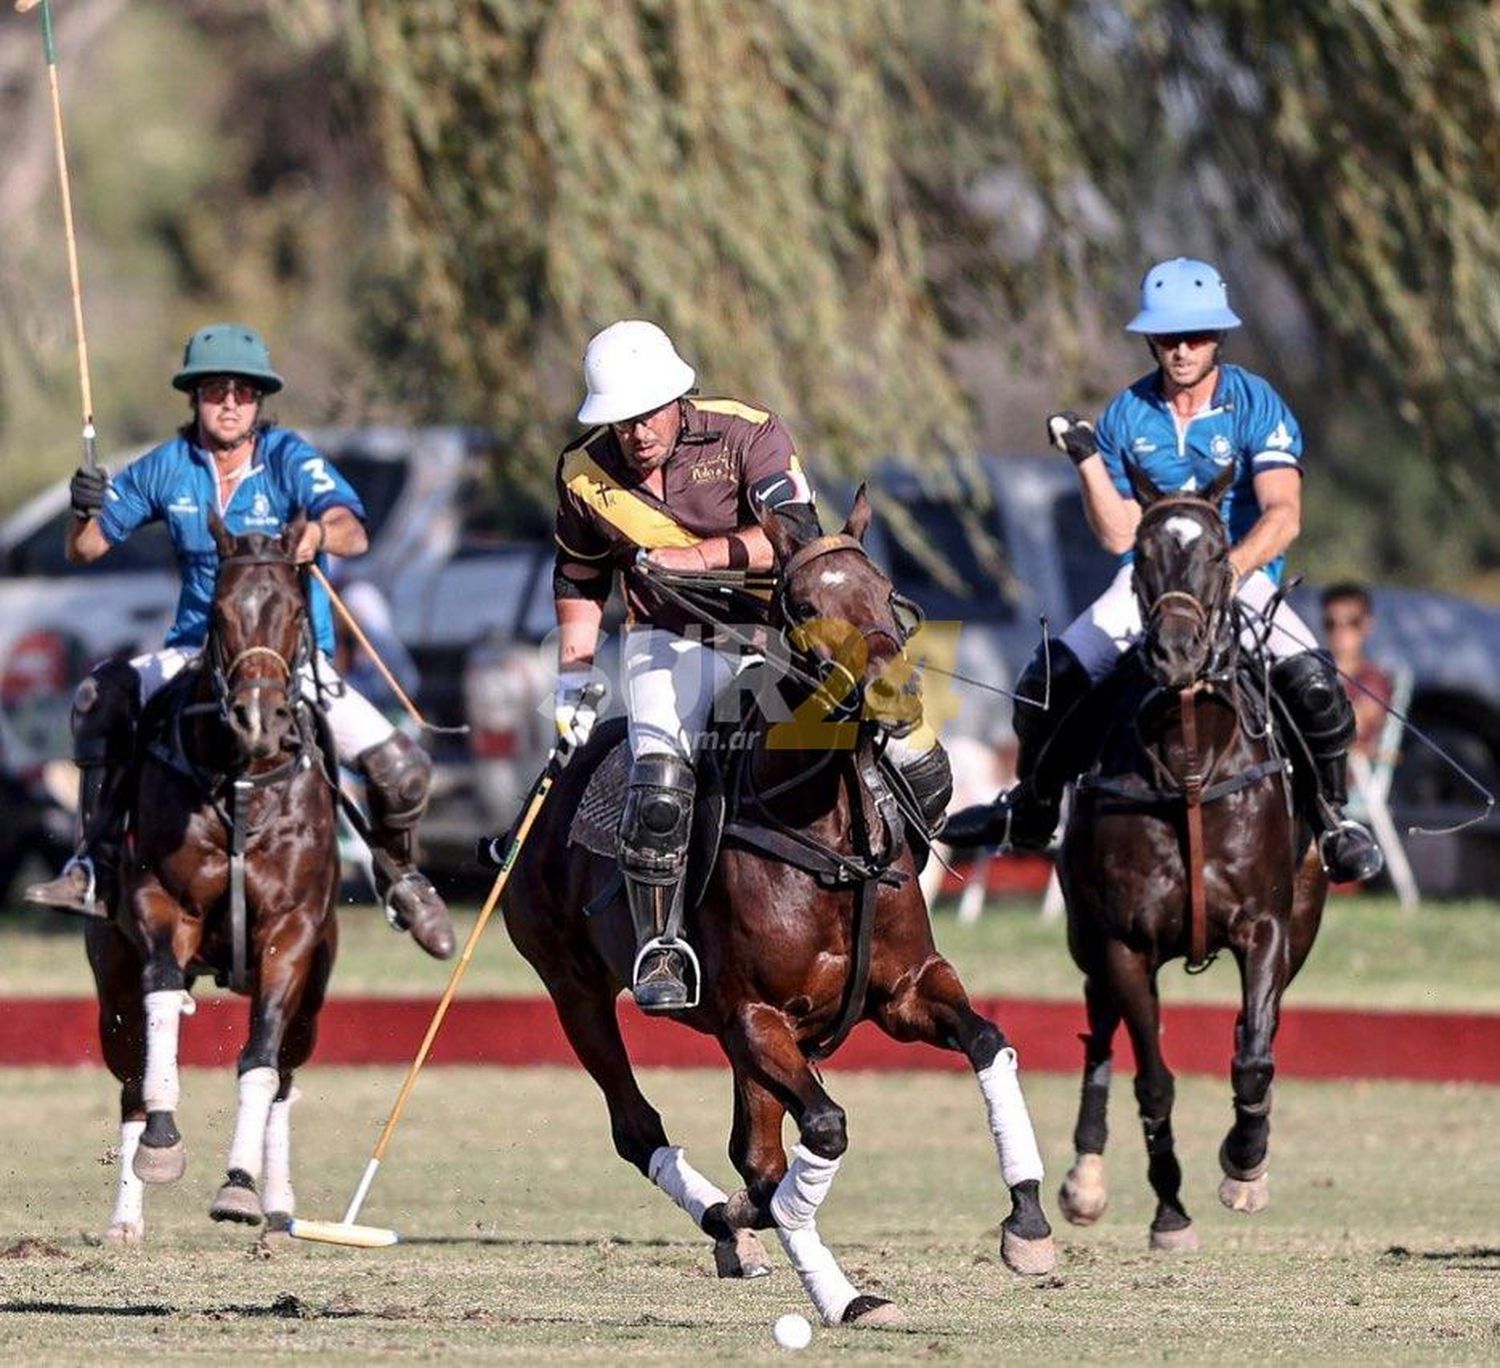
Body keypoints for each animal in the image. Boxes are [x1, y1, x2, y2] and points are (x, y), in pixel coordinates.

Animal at [85, 519, 340, 1248]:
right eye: (220, 613)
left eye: (294, 609)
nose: (259, 718)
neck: (241, 782)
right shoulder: (159, 905)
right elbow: (163, 1002)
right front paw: (162, 1146)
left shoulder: (292, 931)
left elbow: (259, 1059)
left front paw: (239, 1188)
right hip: (109, 976)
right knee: (131, 1074)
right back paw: (125, 1218)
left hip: (315, 988)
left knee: (285, 1072)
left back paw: (279, 1208)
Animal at [504, 495, 1056, 1338]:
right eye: (801, 605)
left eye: (884, 587)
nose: (894, 697)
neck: (824, 829)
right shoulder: (753, 1016)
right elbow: (823, 1129)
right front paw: (815, 1267)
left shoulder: (906, 991)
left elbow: (988, 1041)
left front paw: (1027, 1222)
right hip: (575, 989)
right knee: (642, 1127)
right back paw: (752, 1236)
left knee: (754, 1154)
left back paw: (764, 1242)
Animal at [1056, 468, 1326, 1248]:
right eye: (1143, 554)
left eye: (1217, 552)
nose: (1176, 652)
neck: (1190, 759)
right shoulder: (1122, 941)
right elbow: (1153, 1076)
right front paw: (1170, 1209)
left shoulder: (1267, 927)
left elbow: (1254, 1056)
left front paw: (1245, 1160)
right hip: (1085, 935)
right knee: (1100, 1031)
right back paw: (1085, 1179)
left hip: (1302, 922)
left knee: (1258, 1026)